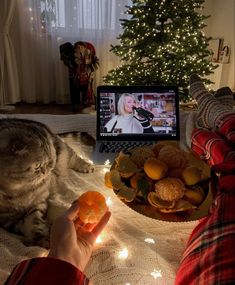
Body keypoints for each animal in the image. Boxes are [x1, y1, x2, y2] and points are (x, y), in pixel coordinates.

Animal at [0, 117, 93, 246]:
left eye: (50, 161)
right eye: (37, 166)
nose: (48, 171)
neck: (16, 190)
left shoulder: (38, 202)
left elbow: (35, 221)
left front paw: (41, 238)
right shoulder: (7, 219)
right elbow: (25, 226)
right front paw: (36, 240)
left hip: (64, 152)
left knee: (74, 157)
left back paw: (86, 166)